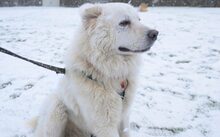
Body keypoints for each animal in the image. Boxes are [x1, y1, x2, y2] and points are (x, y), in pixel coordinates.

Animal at [34, 2, 158, 137]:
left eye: (139, 20)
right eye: (124, 23)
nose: (155, 34)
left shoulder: (123, 117)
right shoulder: (105, 124)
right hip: (56, 109)